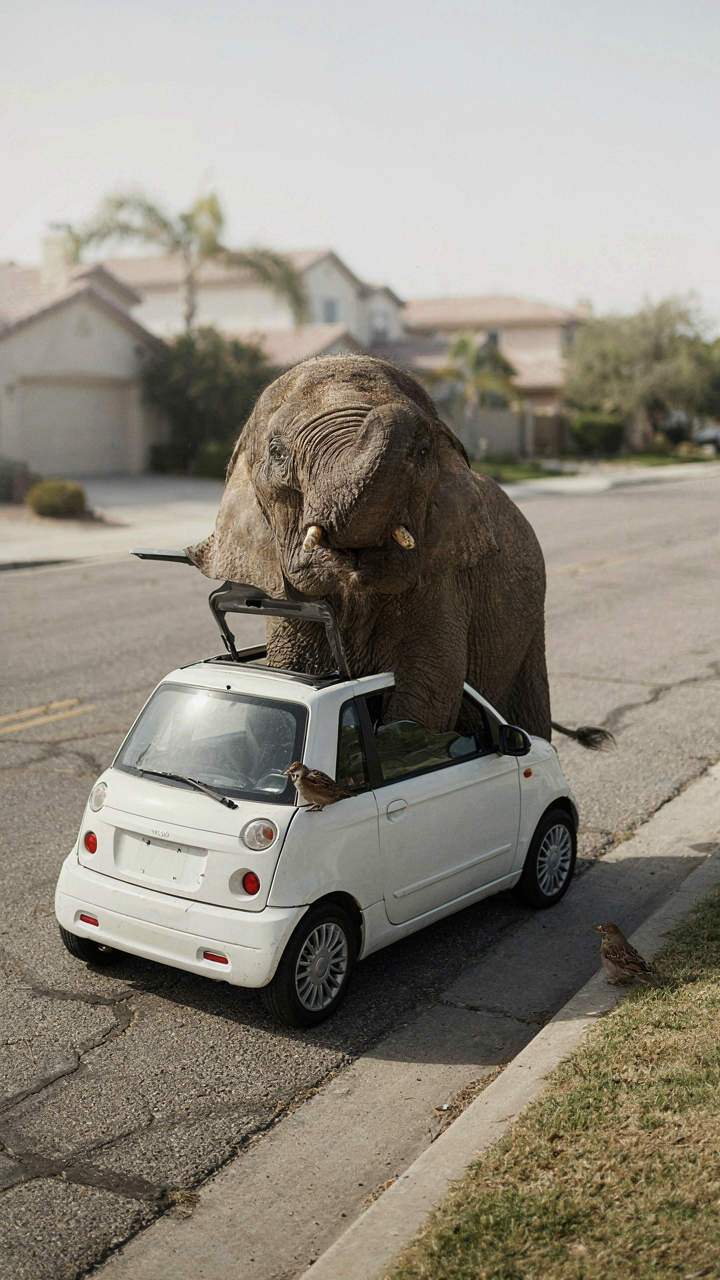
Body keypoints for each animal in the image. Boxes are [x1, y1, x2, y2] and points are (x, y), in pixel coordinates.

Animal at [187, 354, 611, 748]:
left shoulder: (442, 587)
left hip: (530, 629)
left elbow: (428, 691)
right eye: (277, 453)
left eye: (424, 453)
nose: (410, 417)